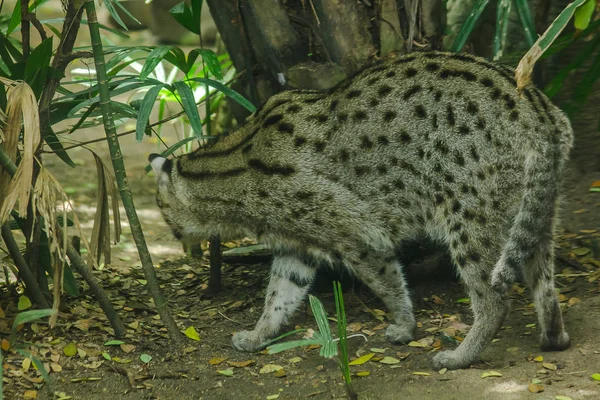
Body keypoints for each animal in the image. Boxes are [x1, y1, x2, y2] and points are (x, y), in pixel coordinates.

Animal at [149, 51, 572, 370]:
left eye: (161, 209)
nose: (173, 234)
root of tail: (540, 110)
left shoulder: (356, 234)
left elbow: (387, 282)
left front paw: (404, 326)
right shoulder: (297, 244)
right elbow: (279, 296)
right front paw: (259, 334)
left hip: (469, 215)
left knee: (495, 299)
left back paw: (460, 356)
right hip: (534, 211)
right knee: (543, 278)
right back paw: (553, 335)